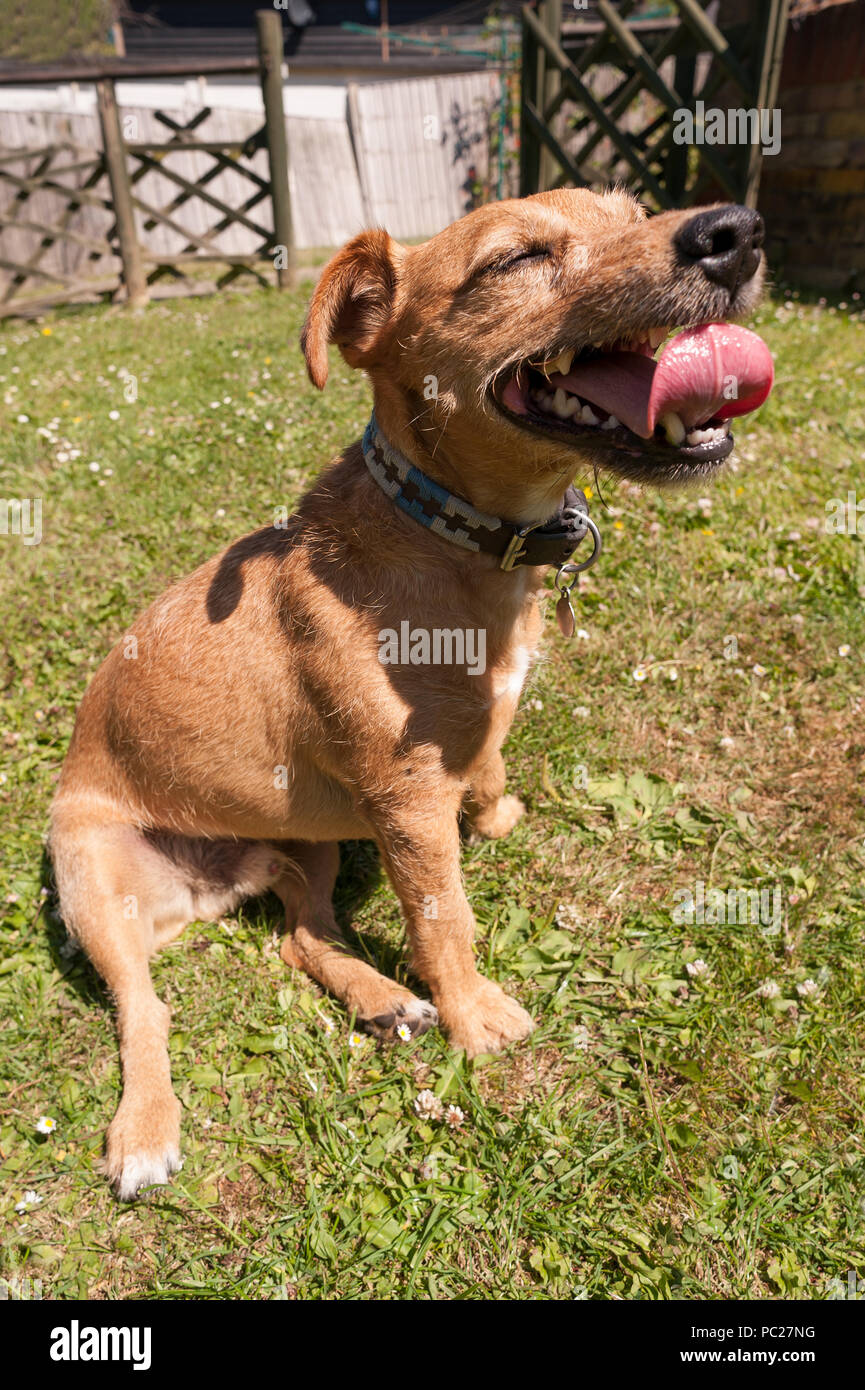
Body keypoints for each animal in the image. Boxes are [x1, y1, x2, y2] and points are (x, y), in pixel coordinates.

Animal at [50, 187, 773, 1195]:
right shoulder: (406, 804)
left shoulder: (448, 759)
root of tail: (208, 886)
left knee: (301, 933)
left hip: (307, 846)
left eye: (632, 211)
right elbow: (445, 920)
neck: (449, 536)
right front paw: (476, 1016)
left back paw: (383, 1000)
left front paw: (496, 815)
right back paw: (148, 1129)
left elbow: (492, 760)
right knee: (143, 1008)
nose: (732, 232)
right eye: (515, 259)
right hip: (93, 887)